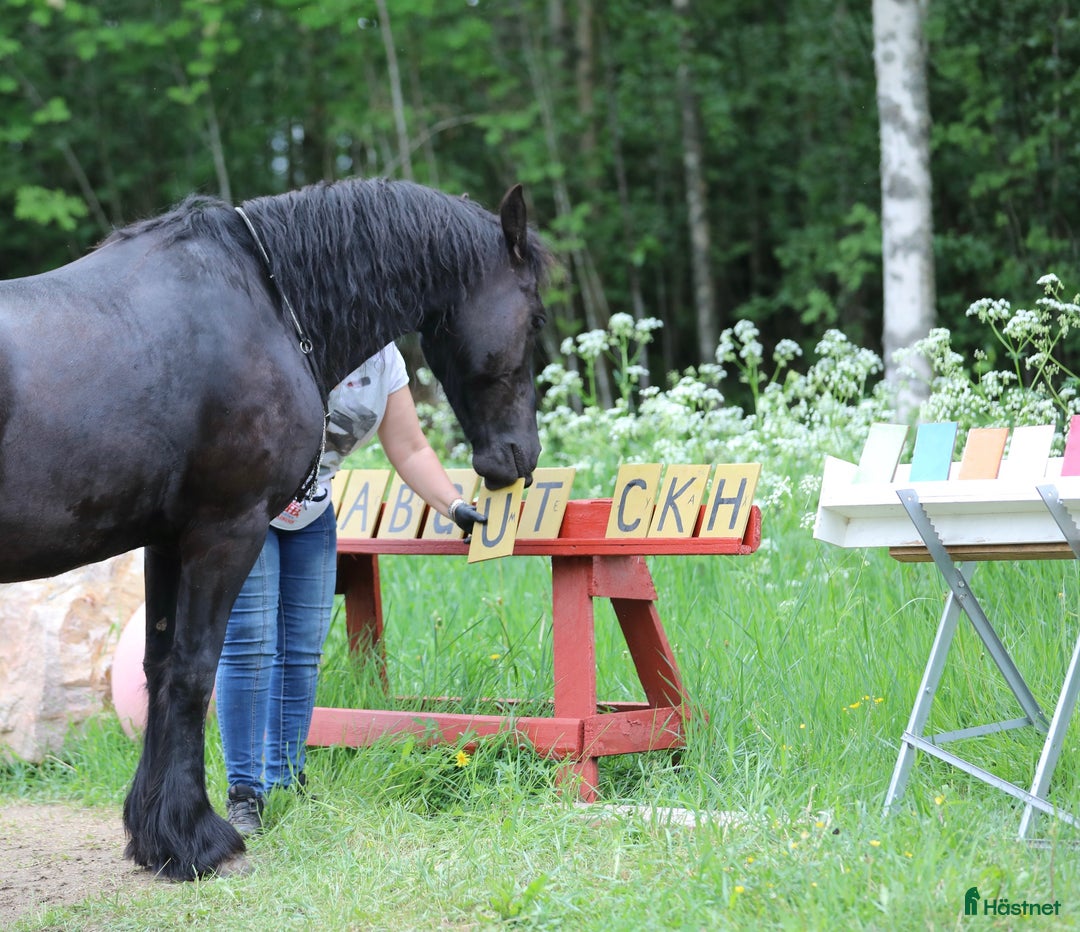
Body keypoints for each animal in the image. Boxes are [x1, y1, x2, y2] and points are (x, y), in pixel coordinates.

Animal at [0, 178, 551, 879]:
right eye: (534, 319)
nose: (519, 457)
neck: (264, 299)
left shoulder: (165, 541)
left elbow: (157, 665)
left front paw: (154, 835)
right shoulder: (225, 531)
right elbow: (194, 671)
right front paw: (198, 838)